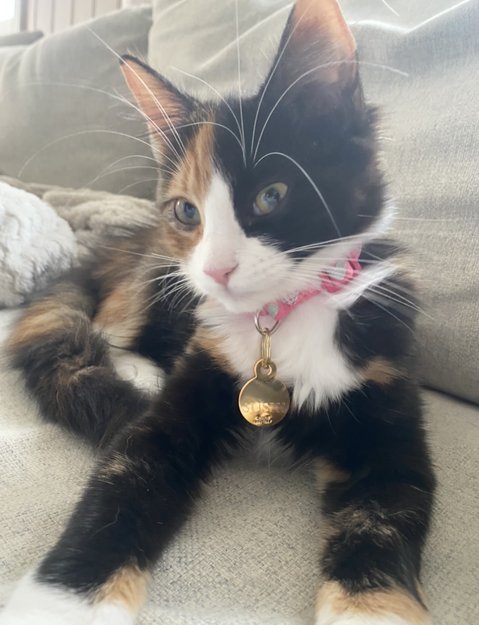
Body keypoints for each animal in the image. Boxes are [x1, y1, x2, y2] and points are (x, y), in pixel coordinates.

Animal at [1, 0, 435, 624]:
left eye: (272, 196)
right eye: (188, 211)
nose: (216, 270)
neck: (279, 320)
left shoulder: (388, 401)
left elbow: (383, 519)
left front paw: (370, 609)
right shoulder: (193, 378)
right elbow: (124, 479)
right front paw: (63, 603)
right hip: (154, 274)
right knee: (104, 325)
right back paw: (140, 369)